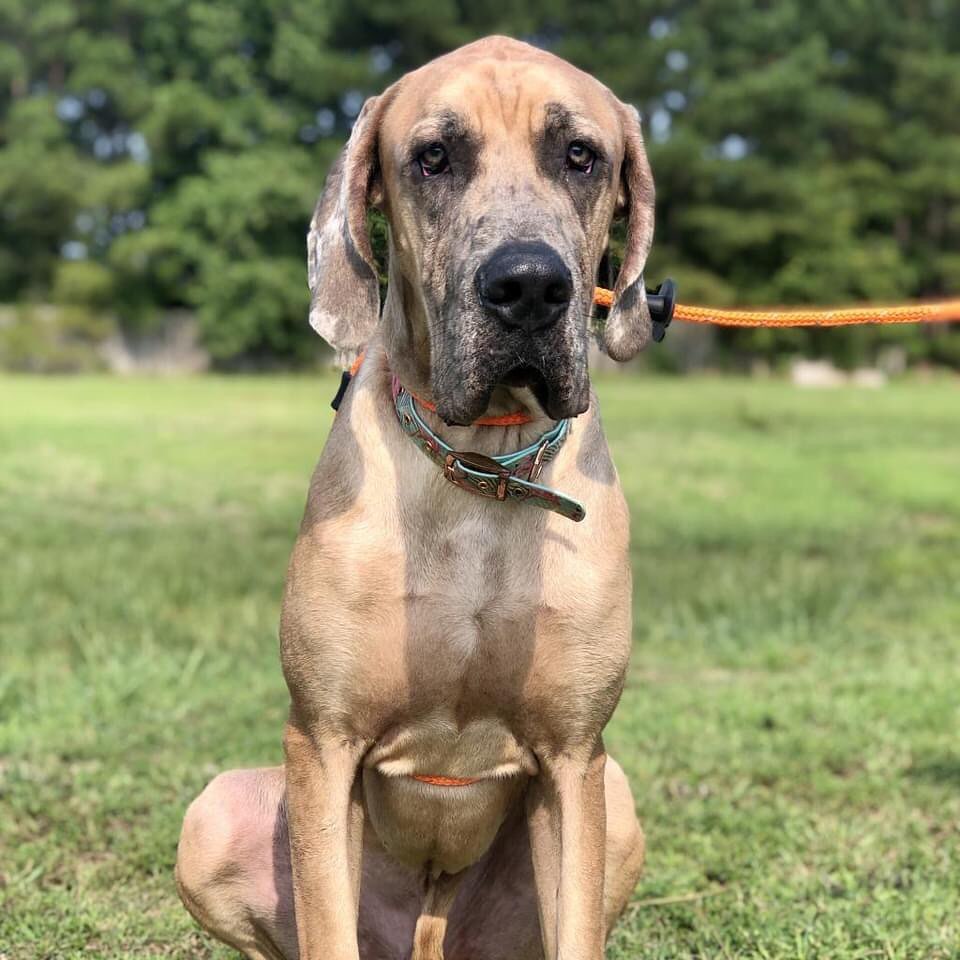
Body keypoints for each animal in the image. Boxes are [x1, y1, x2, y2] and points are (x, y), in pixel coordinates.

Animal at [176, 33, 656, 960]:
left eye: (581, 155)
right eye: (433, 157)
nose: (529, 285)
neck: (481, 466)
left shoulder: (576, 755)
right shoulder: (323, 742)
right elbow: (327, 925)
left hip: (616, 804)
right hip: (214, 815)